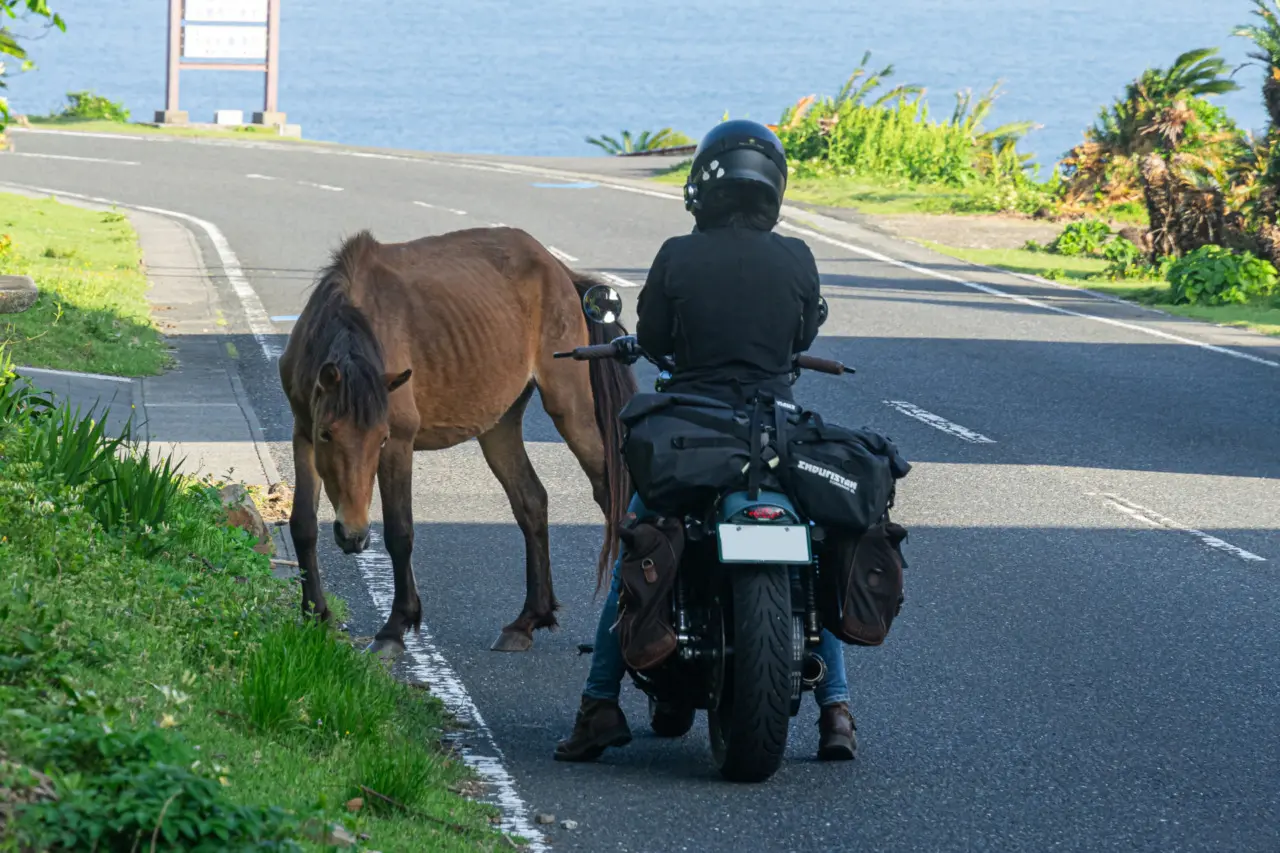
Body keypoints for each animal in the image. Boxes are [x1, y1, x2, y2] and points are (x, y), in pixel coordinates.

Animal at [281, 225, 640, 650]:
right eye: (326, 434)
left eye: (380, 439)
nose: (353, 535)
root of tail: (561, 273)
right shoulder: (302, 432)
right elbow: (303, 525)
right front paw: (315, 615)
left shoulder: (400, 443)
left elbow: (399, 532)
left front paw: (395, 626)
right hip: (499, 425)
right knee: (531, 501)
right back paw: (529, 618)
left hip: (572, 409)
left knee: (612, 494)